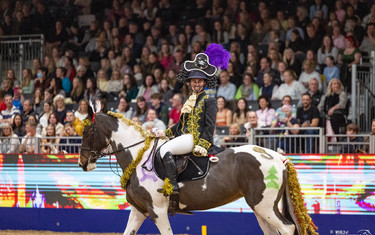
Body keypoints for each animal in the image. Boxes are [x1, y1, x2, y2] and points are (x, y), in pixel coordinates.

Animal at [78, 112, 318, 235]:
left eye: (88, 131)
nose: (82, 162)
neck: (139, 158)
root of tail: (278, 158)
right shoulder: (139, 210)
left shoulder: (157, 211)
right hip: (260, 208)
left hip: (265, 206)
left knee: (287, 228)